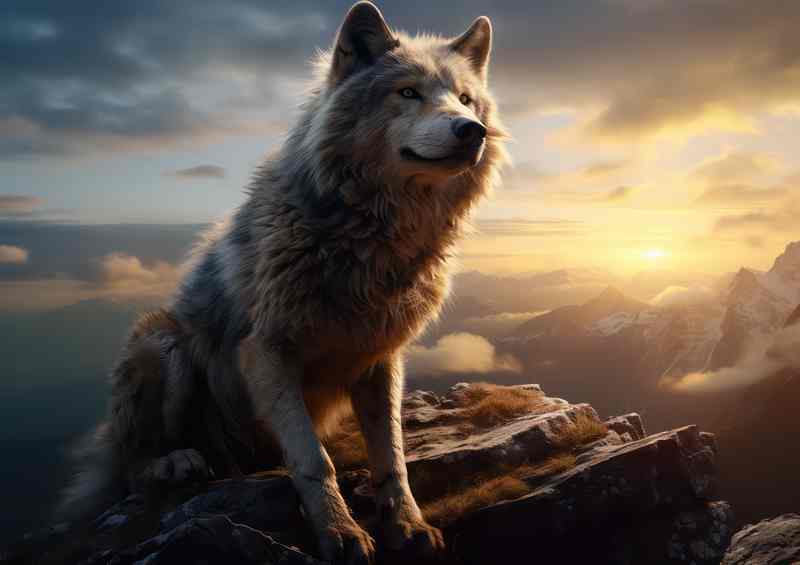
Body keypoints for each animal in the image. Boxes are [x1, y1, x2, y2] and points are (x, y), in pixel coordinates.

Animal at [59, 2, 507, 562]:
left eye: (466, 99)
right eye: (408, 92)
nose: (472, 130)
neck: (368, 236)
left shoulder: (381, 358)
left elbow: (392, 457)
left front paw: (408, 524)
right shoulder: (267, 354)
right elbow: (315, 462)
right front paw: (340, 532)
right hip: (162, 342)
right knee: (130, 468)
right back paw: (175, 461)